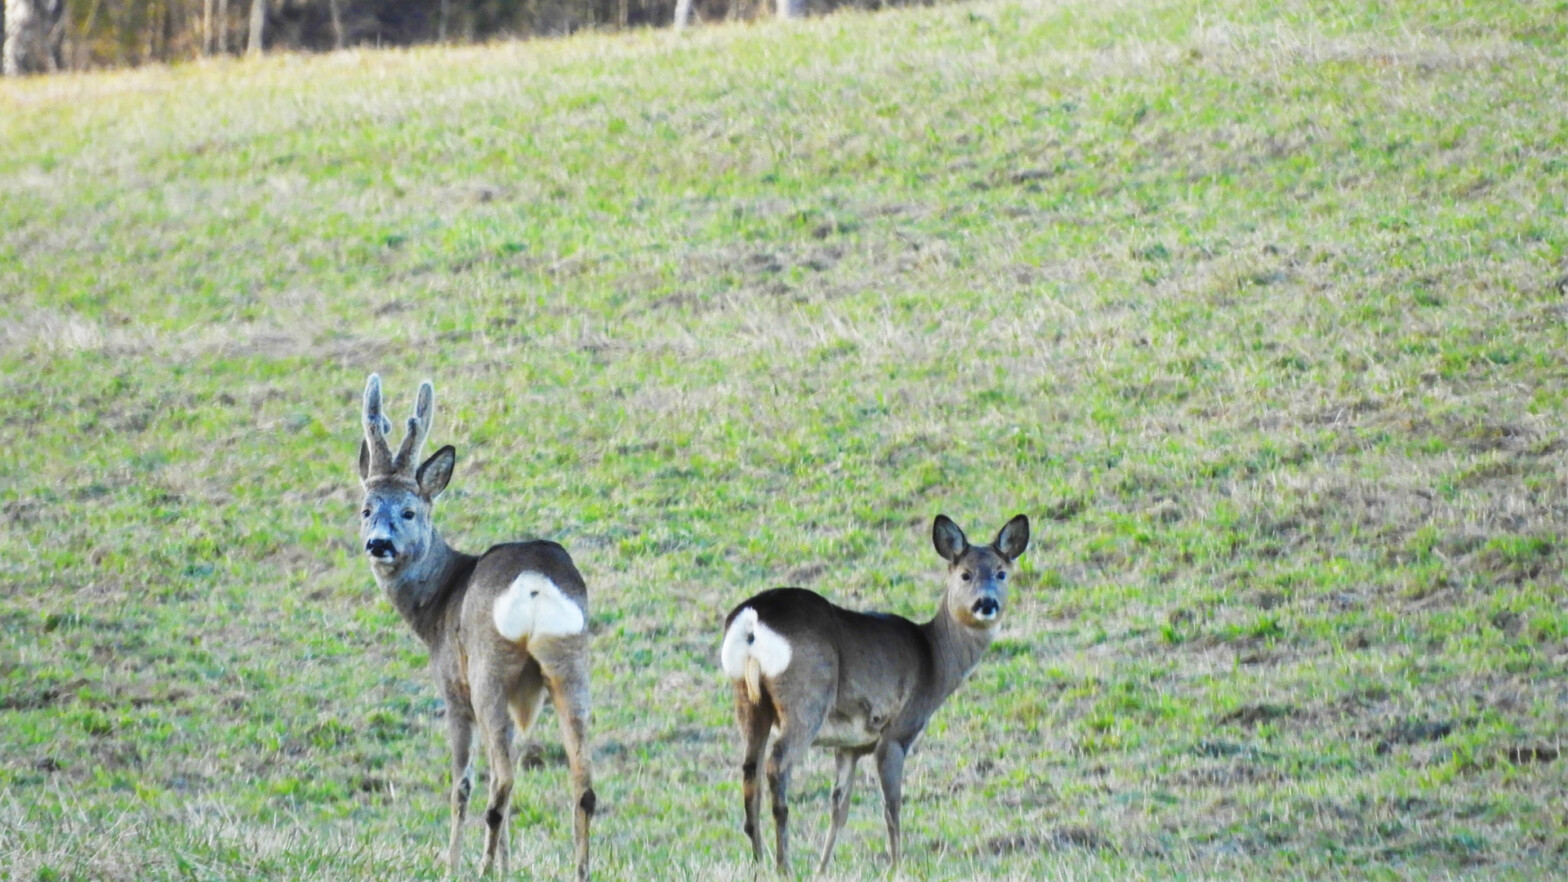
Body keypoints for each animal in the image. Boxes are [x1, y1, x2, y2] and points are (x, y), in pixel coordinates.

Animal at [355, 371, 592, 878]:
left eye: (409, 511)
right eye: (366, 509)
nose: (378, 544)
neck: (438, 601)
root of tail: (535, 583)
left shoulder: (451, 686)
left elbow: (460, 783)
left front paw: (453, 864)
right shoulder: (524, 697)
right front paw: (507, 866)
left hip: (489, 669)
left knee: (499, 780)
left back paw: (479, 870)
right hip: (570, 662)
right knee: (580, 780)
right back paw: (580, 870)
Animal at [718, 511, 1028, 866]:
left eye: (1001, 573)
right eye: (965, 574)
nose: (986, 603)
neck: (934, 658)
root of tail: (751, 619)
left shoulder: (849, 746)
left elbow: (839, 809)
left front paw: (823, 868)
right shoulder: (897, 732)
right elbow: (891, 806)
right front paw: (896, 866)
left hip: (747, 699)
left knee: (749, 770)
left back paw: (760, 862)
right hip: (806, 697)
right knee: (777, 765)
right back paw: (784, 864)